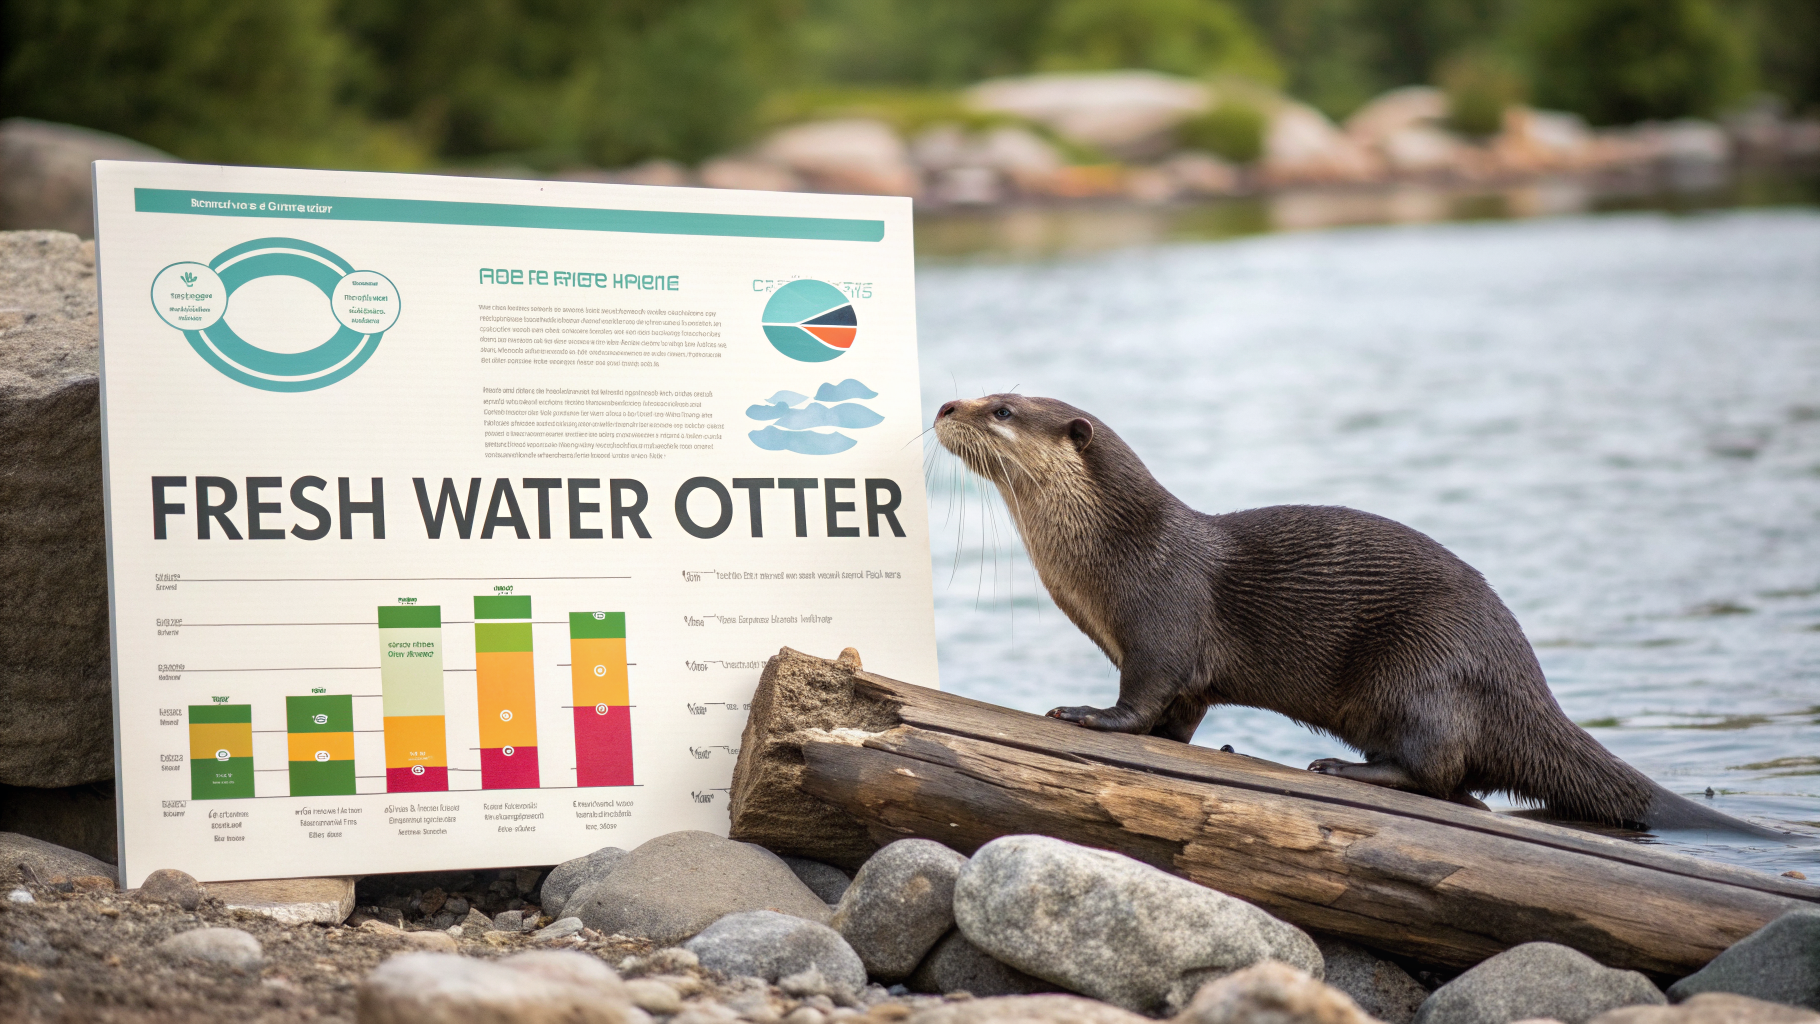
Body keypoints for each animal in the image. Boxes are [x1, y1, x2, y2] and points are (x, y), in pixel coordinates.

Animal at [935, 392, 1802, 838]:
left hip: (1423, 667)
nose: (945, 403)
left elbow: (1142, 696)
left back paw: (1343, 768)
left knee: (1436, 770)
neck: (1116, 547)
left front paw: (1086, 715)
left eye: (1003, 408)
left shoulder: (1160, 618)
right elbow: (1180, 714)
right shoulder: (1181, 671)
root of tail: (1524, 682)